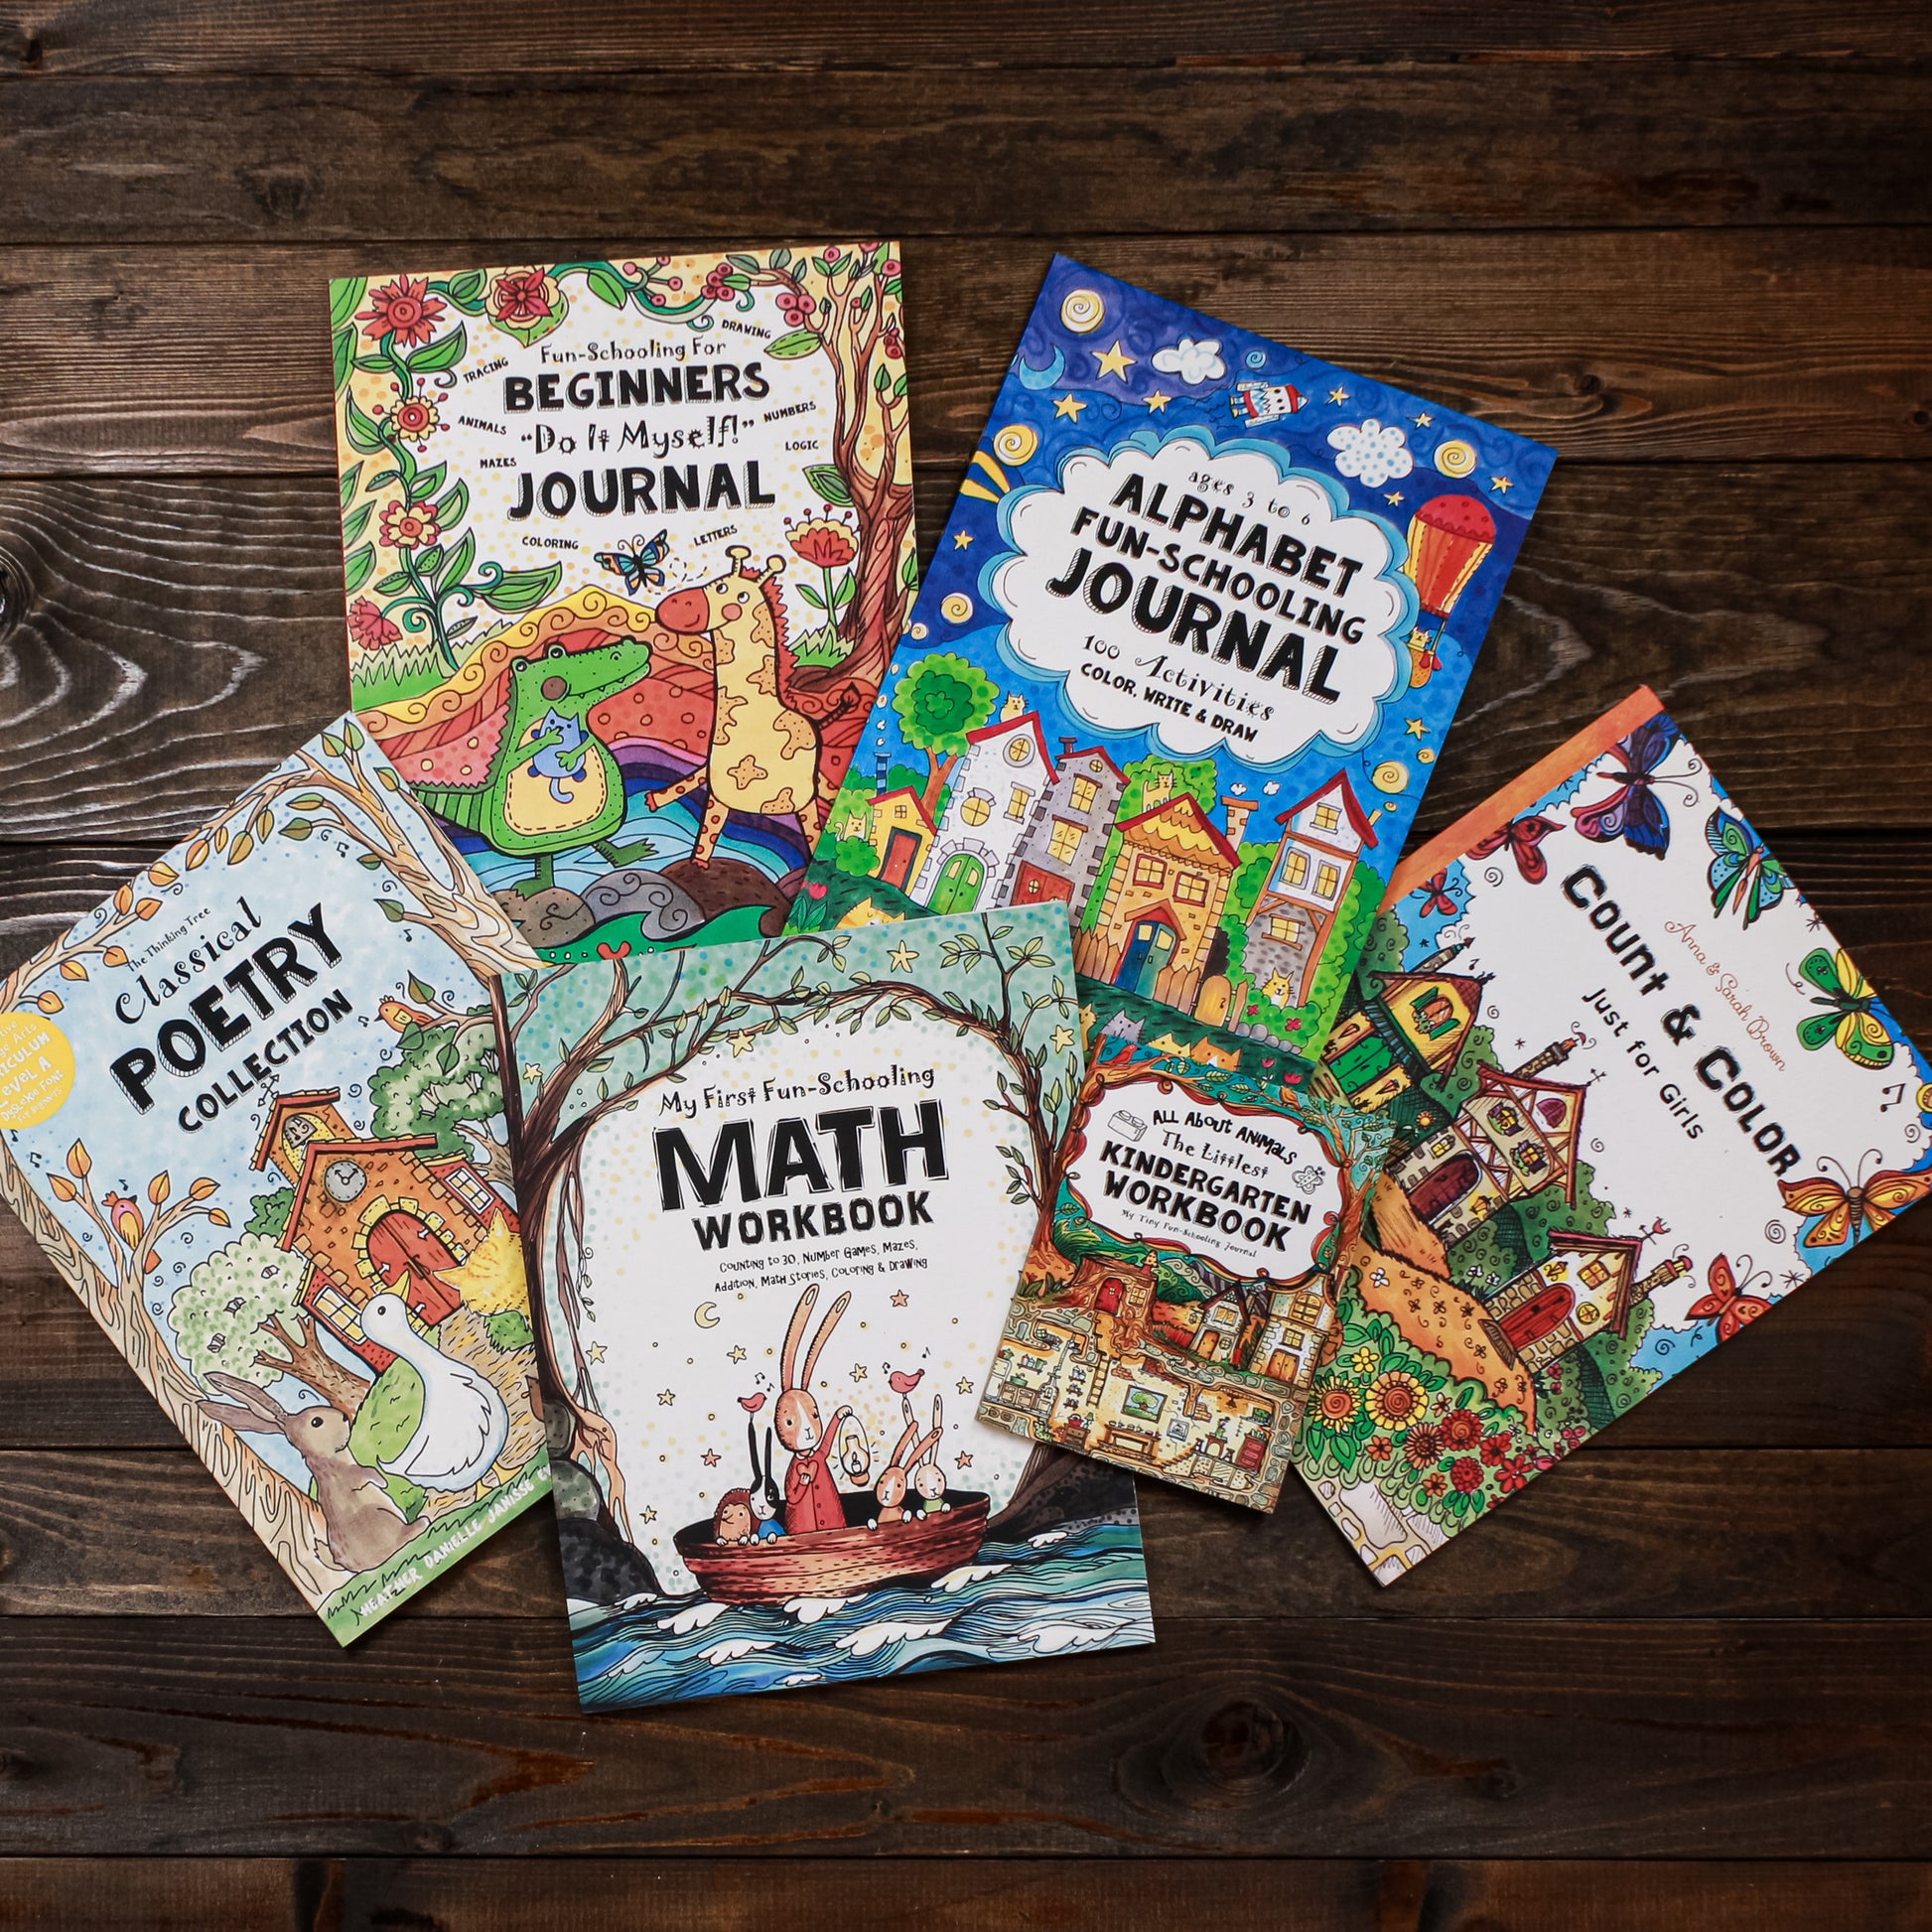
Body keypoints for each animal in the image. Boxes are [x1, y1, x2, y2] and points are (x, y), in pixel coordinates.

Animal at [197, 1371, 413, 1574]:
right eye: (316, 1422)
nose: (344, 1416)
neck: (326, 1458)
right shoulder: (349, 1475)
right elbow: (365, 1474)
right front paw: (383, 1481)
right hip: (382, 1520)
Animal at [646, 547, 834, 866]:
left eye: (725, 590)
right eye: (715, 583)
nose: (670, 606)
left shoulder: (730, 793)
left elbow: (708, 831)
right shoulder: (717, 784)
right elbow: (698, 805)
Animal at [774, 1285, 853, 1535]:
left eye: (815, 1415)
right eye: (789, 1422)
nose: (808, 1432)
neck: (807, 1455)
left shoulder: (819, 1454)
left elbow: (826, 1443)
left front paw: (842, 1412)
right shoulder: (793, 1471)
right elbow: (791, 1493)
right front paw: (806, 1475)